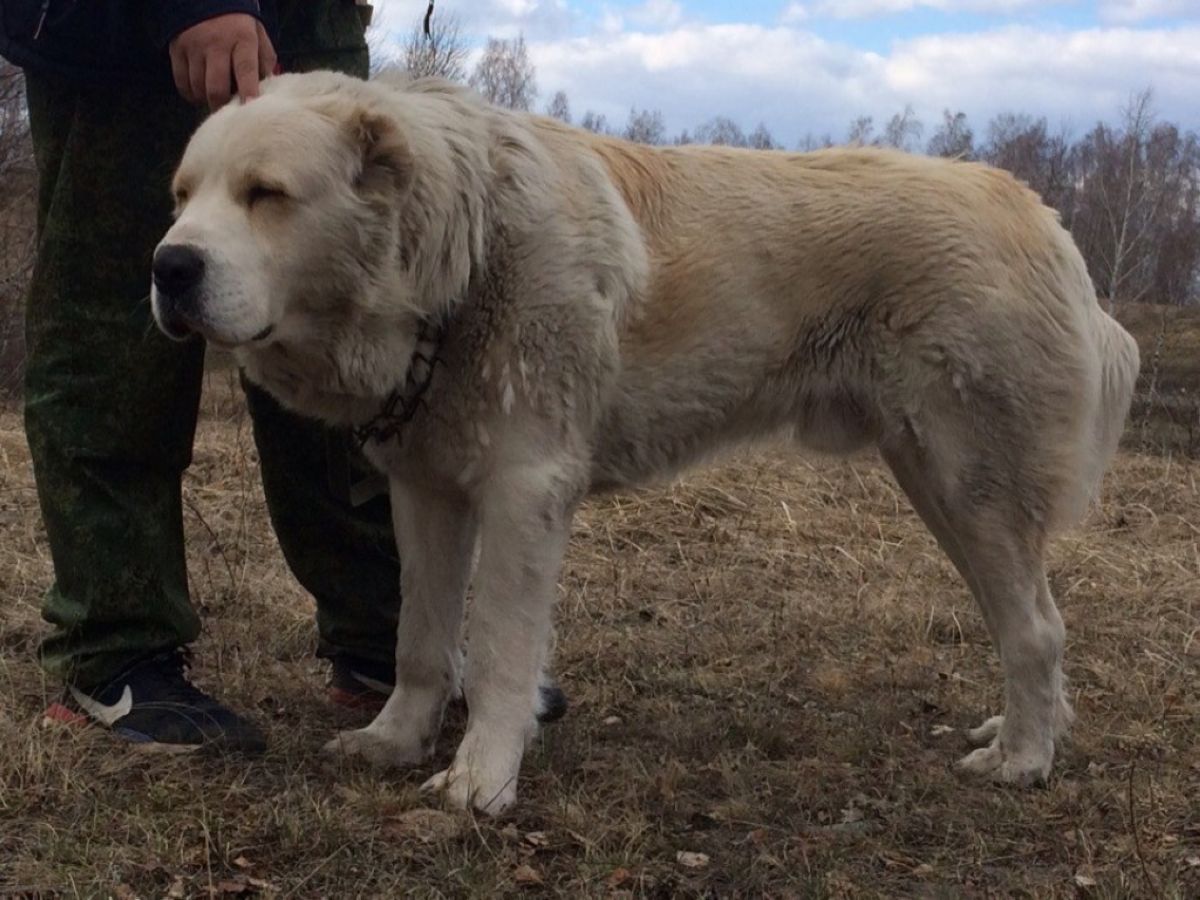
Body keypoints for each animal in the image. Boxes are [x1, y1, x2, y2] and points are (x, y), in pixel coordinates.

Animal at [150, 72, 1132, 816]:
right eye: (181, 198)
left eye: (267, 195)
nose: (169, 266)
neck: (464, 251)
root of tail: (1045, 216)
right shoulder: (426, 492)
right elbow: (420, 639)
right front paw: (394, 740)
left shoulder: (524, 491)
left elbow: (498, 649)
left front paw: (480, 781)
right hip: (941, 486)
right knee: (1026, 624)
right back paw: (1023, 733)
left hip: (972, 485)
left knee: (1037, 629)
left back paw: (1023, 762)